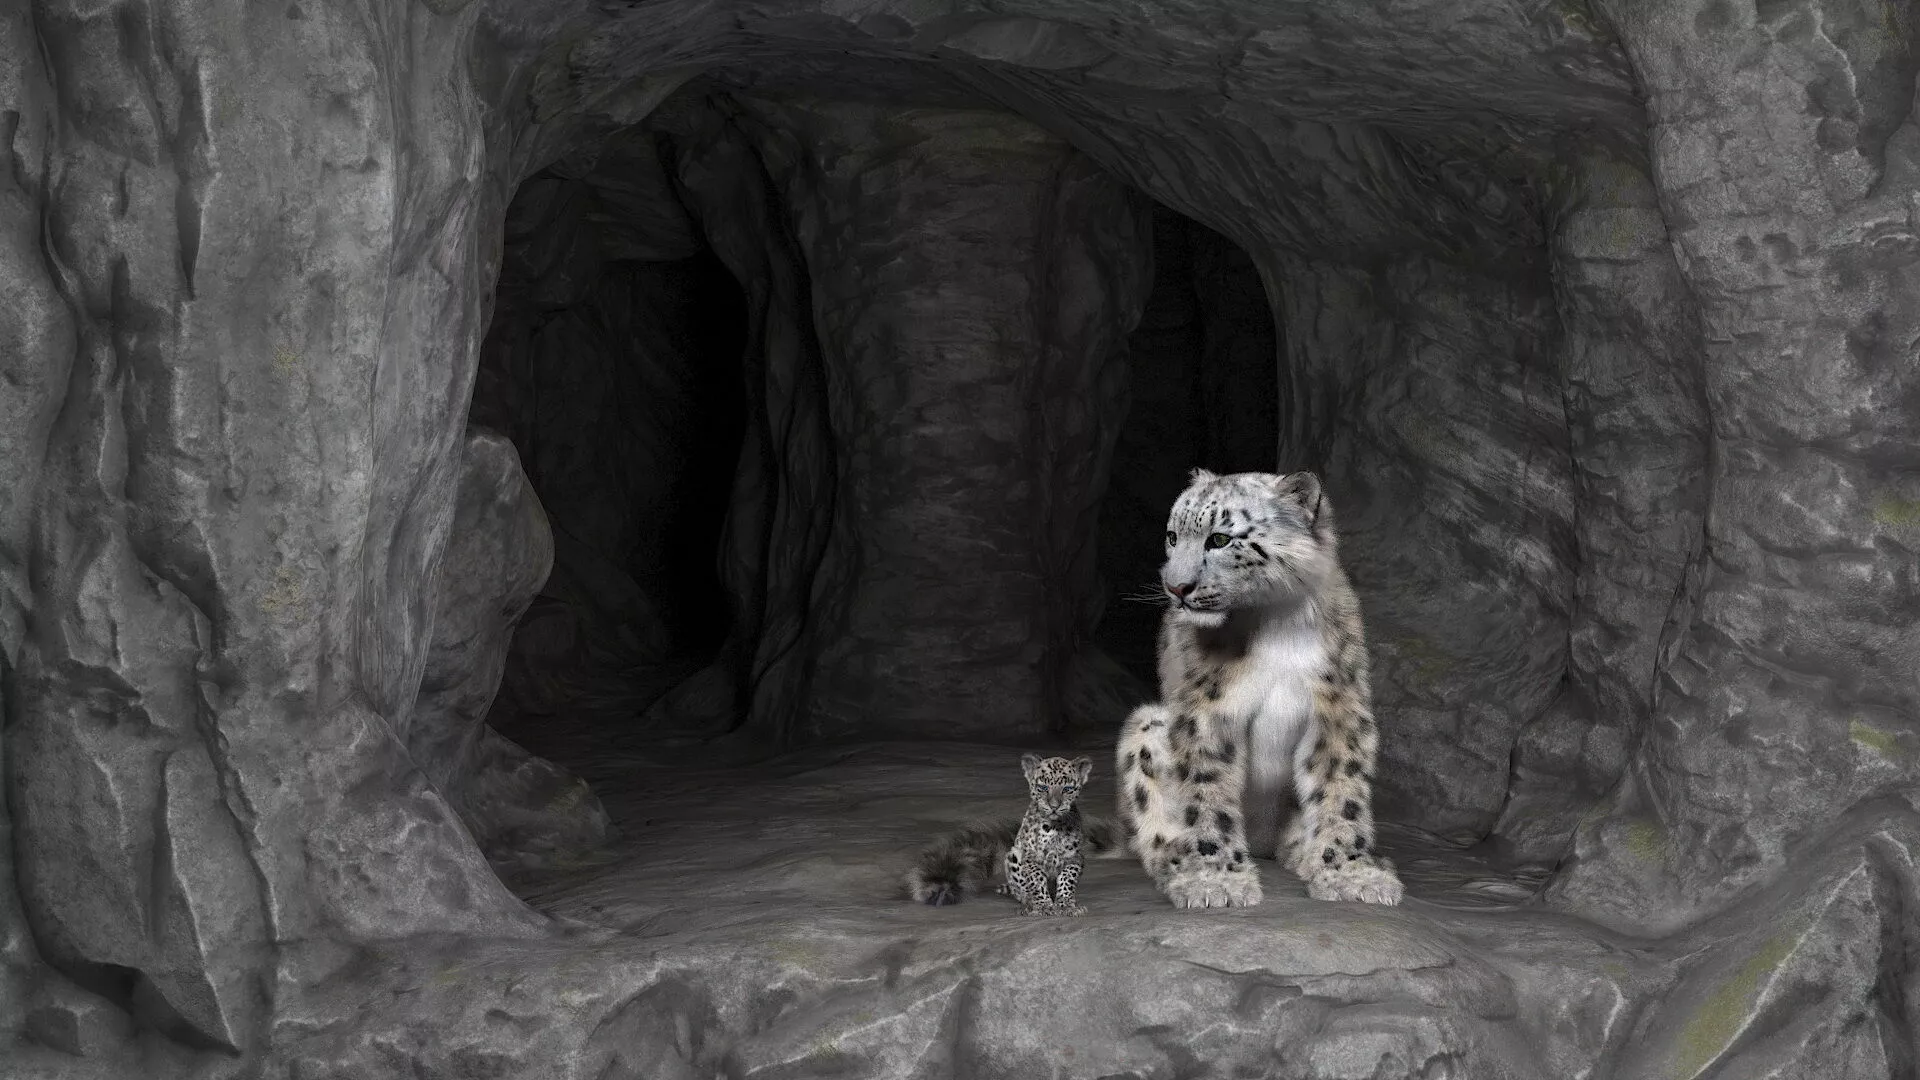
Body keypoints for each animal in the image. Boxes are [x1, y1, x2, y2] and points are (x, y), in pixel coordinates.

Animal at [1118, 467, 1403, 909]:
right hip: (1148, 726)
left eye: (1219, 539)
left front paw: (1350, 873)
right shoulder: (1208, 712)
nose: (1176, 588)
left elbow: (1342, 793)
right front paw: (1216, 882)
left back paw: (1307, 854)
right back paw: (1175, 863)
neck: (1278, 625)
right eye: (1172, 536)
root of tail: (1263, 843)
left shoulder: (1338, 711)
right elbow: (1208, 795)